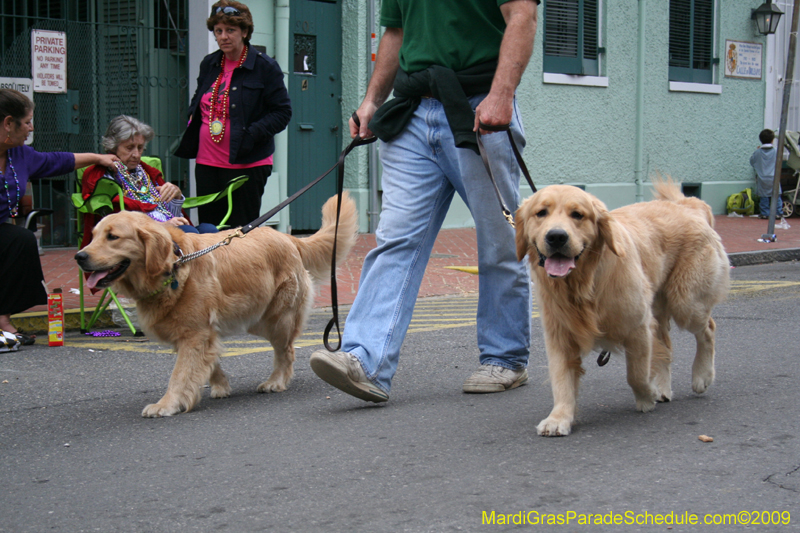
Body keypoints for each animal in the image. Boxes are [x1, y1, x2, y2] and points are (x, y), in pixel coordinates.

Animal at [75, 193, 356, 418]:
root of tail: (288, 237)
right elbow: (206, 363)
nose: (79, 256)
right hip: (255, 316)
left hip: (277, 318)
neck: (173, 265)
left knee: (286, 351)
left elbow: (180, 374)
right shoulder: (196, 334)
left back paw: (276, 382)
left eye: (113, 237)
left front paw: (167, 404)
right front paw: (220, 385)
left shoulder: (194, 334)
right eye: (94, 236)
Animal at [512, 181, 732, 434]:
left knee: (708, 329)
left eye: (577, 214)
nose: (556, 236)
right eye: (541, 213)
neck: (584, 284)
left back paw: (701, 376)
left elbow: (636, 374)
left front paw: (647, 396)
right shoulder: (560, 335)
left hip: (685, 302)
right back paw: (664, 387)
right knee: (666, 345)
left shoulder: (638, 328)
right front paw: (559, 418)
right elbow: (561, 379)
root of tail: (690, 204)